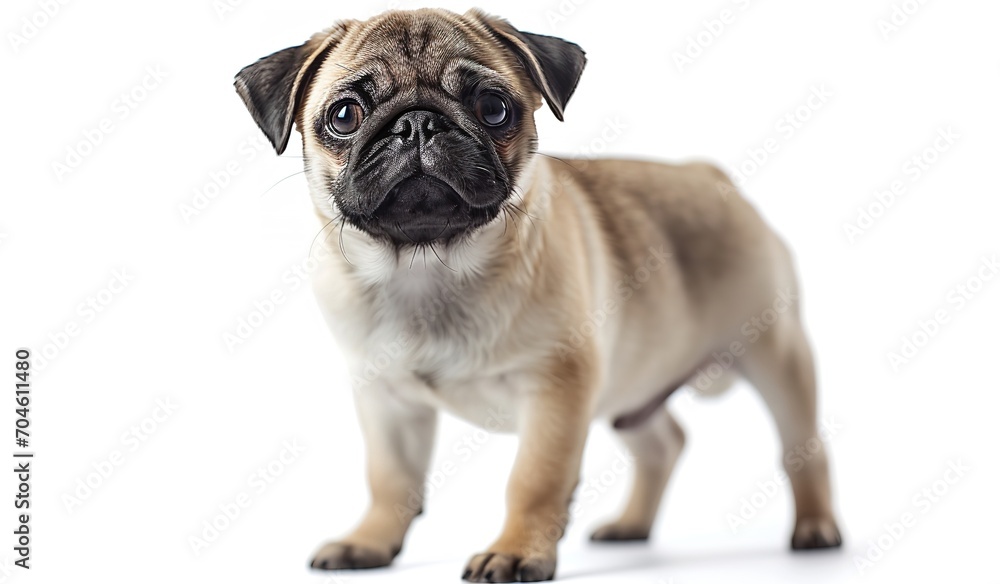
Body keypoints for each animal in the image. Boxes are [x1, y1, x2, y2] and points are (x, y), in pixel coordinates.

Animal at [236, 6, 844, 580]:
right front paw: (368, 541)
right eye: (344, 116)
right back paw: (631, 526)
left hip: (775, 352)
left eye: (493, 107)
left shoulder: (556, 391)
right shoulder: (387, 402)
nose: (418, 124)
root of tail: (711, 176)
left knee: (802, 449)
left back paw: (816, 528)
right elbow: (390, 480)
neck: (430, 268)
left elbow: (533, 481)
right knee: (662, 444)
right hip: (635, 381)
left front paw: (514, 553)